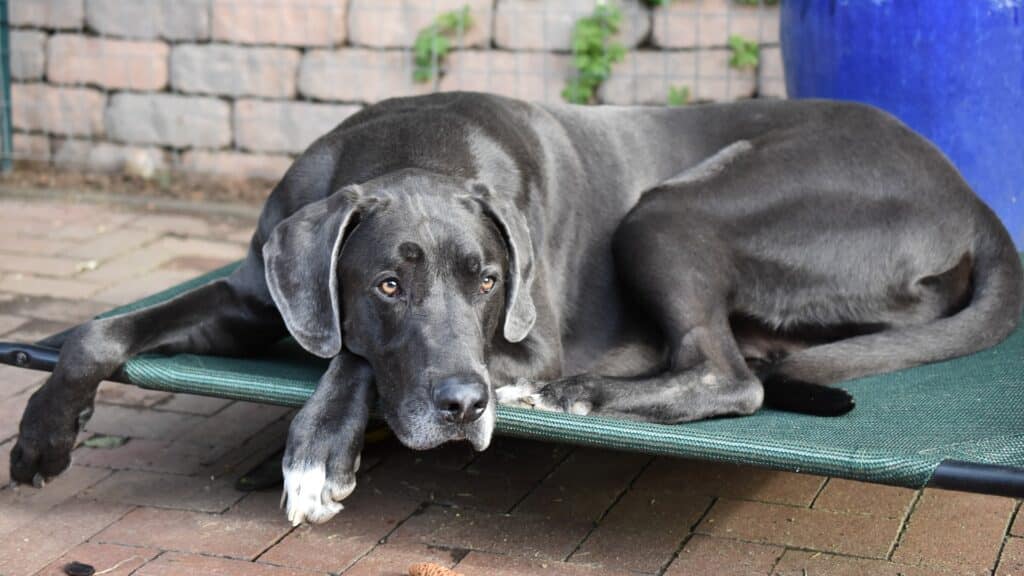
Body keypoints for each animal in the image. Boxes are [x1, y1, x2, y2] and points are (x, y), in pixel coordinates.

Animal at [9, 90, 1024, 524]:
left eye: (490, 280)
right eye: (388, 284)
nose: (466, 406)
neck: (411, 146)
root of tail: (971, 194)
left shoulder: (520, 342)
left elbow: (355, 359)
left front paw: (316, 453)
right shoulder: (257, 293)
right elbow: (103, 329)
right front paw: (43, 438)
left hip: (674, 209)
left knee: (729, 378)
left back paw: (579, 398)